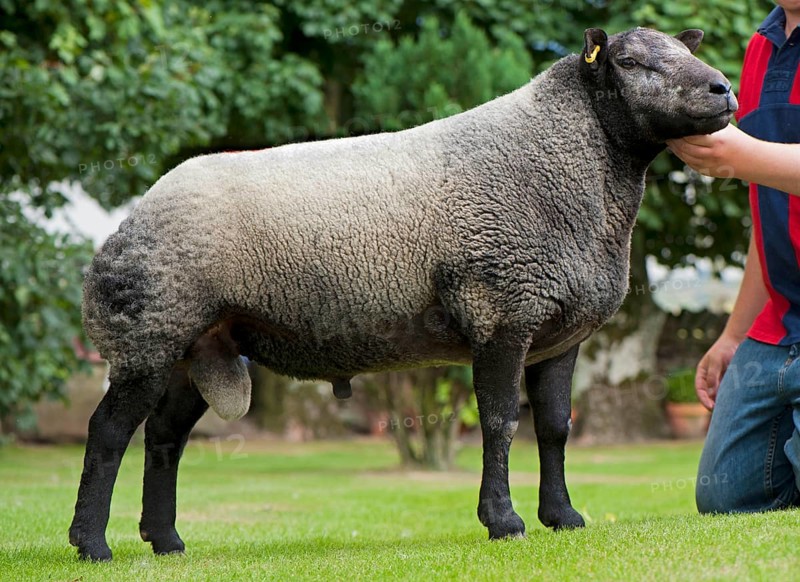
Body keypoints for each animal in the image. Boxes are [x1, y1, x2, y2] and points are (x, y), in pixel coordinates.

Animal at [69, 27, 737, 561]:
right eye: (630, 61)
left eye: (686, 50)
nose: (723, 89)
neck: (565, 161)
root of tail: (126, 225)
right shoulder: (502, 314)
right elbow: (500, 423)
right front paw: (504, 522)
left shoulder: (557, 334)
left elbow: (554, 427)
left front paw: (563, 517)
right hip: (150, 331)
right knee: (108, 433)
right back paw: (93, 544)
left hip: (199, 345)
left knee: (164, 436)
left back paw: (165, 540)